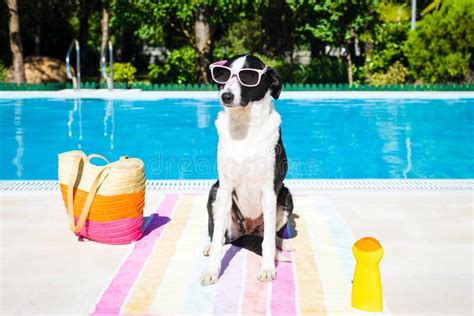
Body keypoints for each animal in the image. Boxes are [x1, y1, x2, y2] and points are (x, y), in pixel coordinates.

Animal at [202, 55, 294, 286]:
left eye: (249, 76)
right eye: (223, 74)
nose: (226, 96)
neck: (244, 126)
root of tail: (247, 230)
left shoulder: (269, 191)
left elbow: (267, 241)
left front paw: (268, 268)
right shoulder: (225, 189)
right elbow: (217, 239)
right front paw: (211, 271)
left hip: (286, 196)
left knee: (266, 236)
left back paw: (283, 243)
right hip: (214, 192)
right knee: (221, 237)